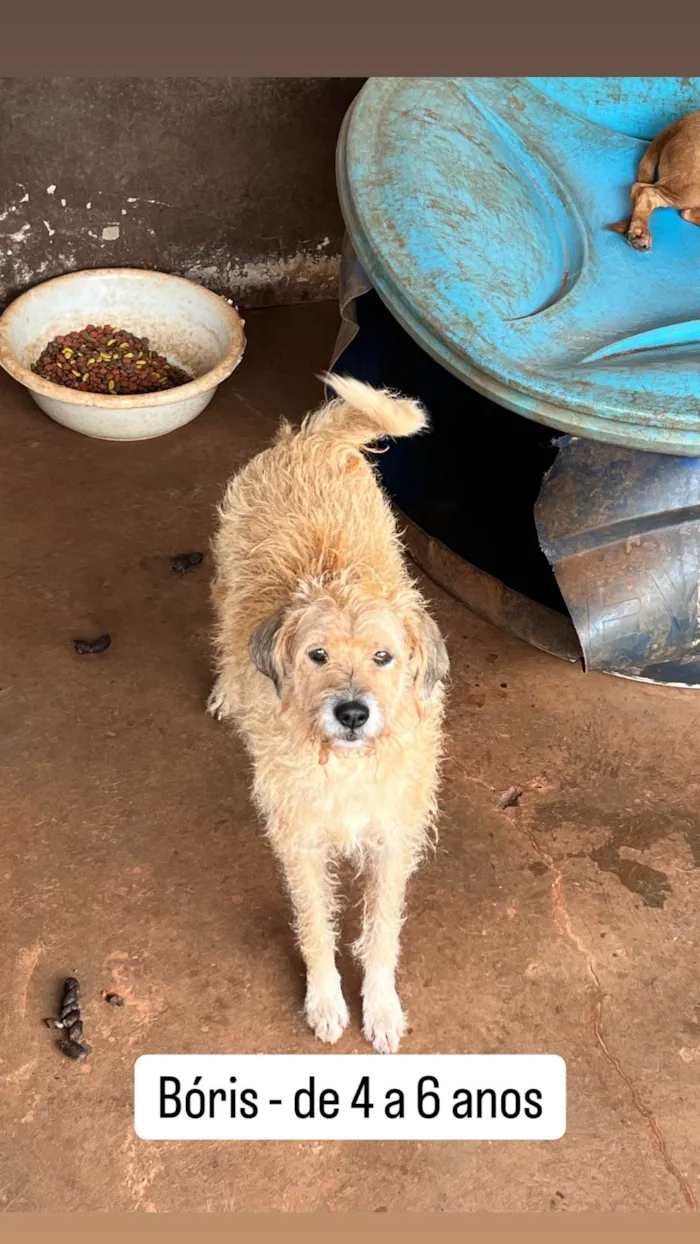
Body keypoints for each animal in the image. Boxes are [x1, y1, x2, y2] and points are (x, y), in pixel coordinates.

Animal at [207, 373, 450, 1054]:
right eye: (317, 655)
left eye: (383, 657)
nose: (351, 712)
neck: (346, 765)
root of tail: (309, 441)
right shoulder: (302, 842)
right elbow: (316, 927)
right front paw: (324, 1000)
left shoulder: (393, 840)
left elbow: (382, 932)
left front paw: (383, 1007)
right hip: (225, 578)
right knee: (224, 639)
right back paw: (227, 690)